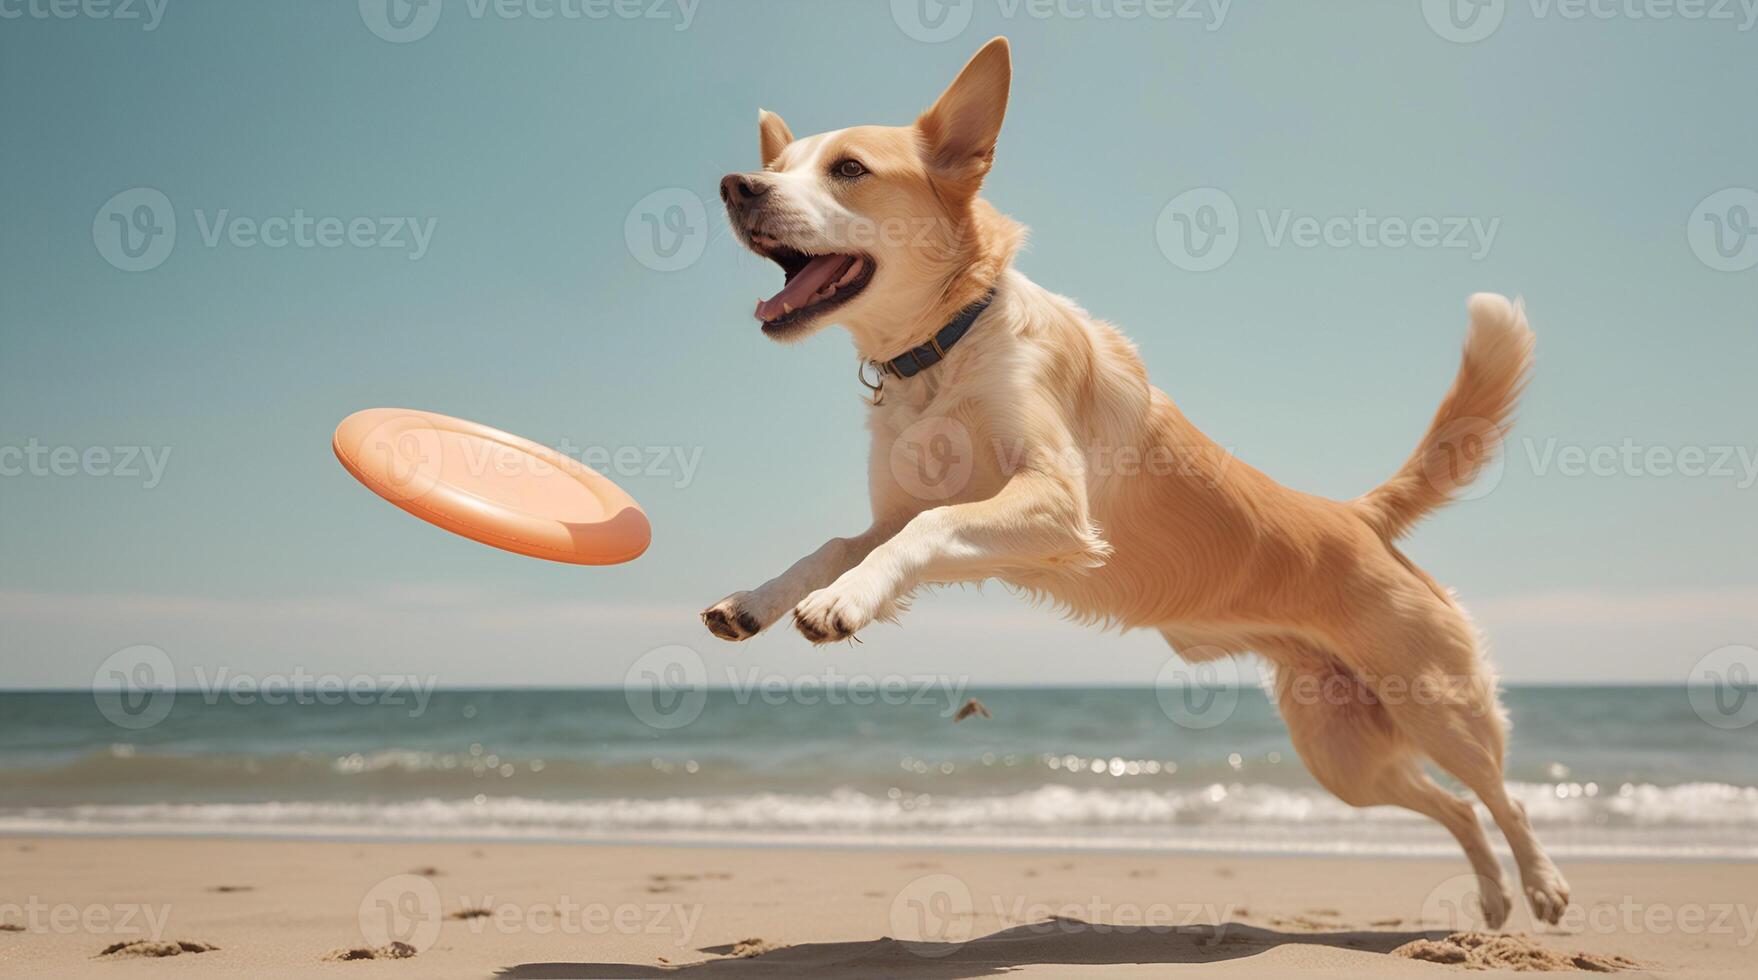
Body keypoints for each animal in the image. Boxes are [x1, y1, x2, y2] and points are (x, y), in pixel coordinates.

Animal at [699, 36, 1568, 921]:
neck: (944, 347)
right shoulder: (910, 516)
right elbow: (844, 542)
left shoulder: (1053, 503)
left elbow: (922, 530)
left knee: (1504, 797)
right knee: (1456, 806)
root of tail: (1358, 515)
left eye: (847, 169)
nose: (737, 185)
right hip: (1344, 755)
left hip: (1438, 711)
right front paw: (758, 600)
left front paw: (839, 604)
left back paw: (1542, 885)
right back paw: (1493, 899)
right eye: (779, 165)